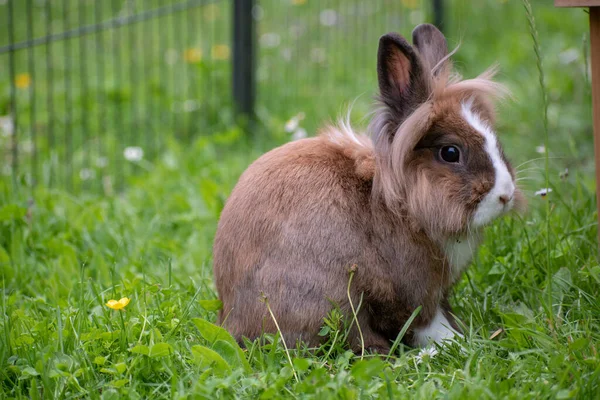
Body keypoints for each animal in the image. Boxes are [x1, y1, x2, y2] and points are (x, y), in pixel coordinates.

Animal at [213, 23, 524, 352]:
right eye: (450, 152)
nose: (505, 195)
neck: (402, 206)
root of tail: (232, 318)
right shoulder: (417, 289)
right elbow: (428, 322)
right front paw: (458, 344)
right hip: (337, 299)